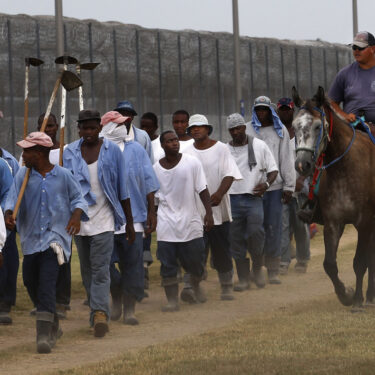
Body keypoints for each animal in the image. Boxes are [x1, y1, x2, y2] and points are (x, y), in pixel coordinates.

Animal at [294, 86, 375, 312]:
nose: (302, 164)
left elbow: (359, 263)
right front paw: (346, 294)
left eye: (317, 126)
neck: (345, 168)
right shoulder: (333, 222)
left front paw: (357, 301)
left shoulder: (365, 222)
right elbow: (329, 264)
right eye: (294, 126)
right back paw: (370, 295)